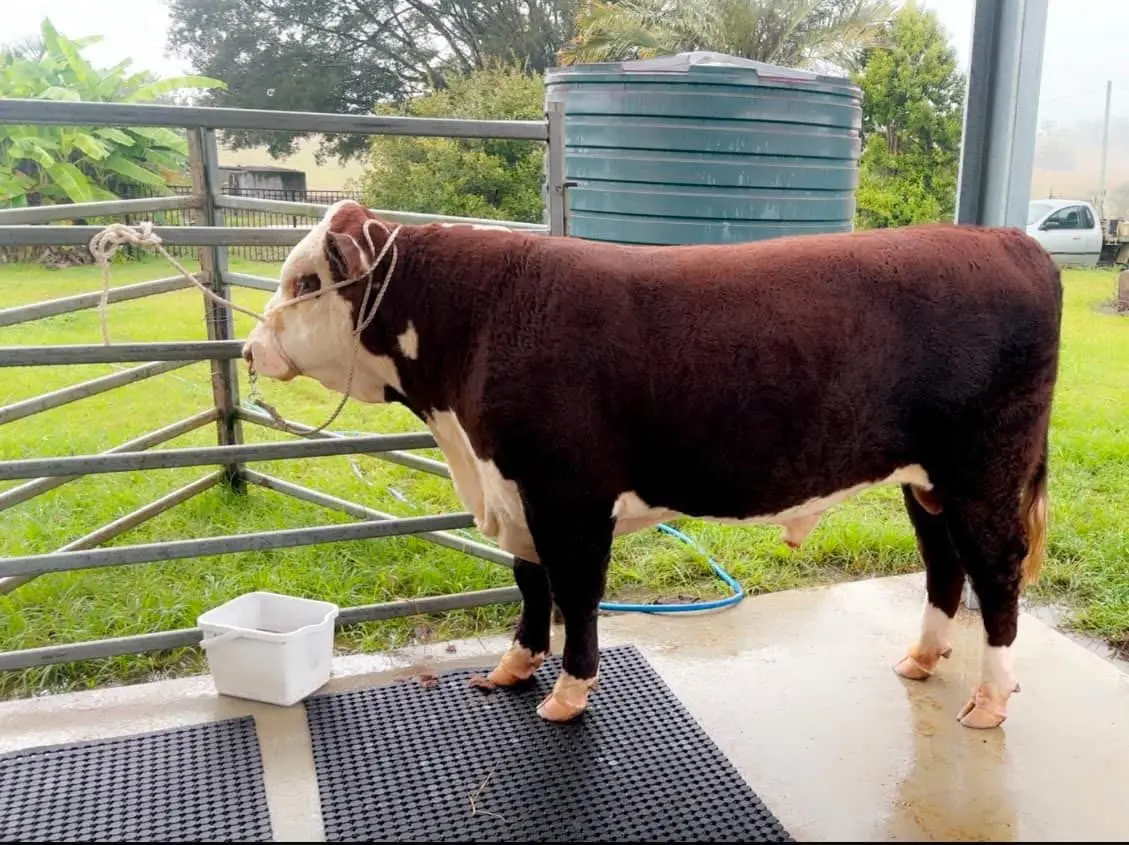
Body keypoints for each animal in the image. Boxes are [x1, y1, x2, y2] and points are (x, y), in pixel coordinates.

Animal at [241, 199, 1063, 729]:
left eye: (306, 282)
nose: (250, 349)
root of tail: (1007, 240)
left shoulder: (567, 492)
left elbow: (575, 591)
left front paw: (568, 693)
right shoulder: (515, 489)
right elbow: (529, 580)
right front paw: (513, 665)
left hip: (984, 470)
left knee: (994, 574)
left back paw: (990, 699)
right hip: (927, 482)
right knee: (942, 564)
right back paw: (921, 658)